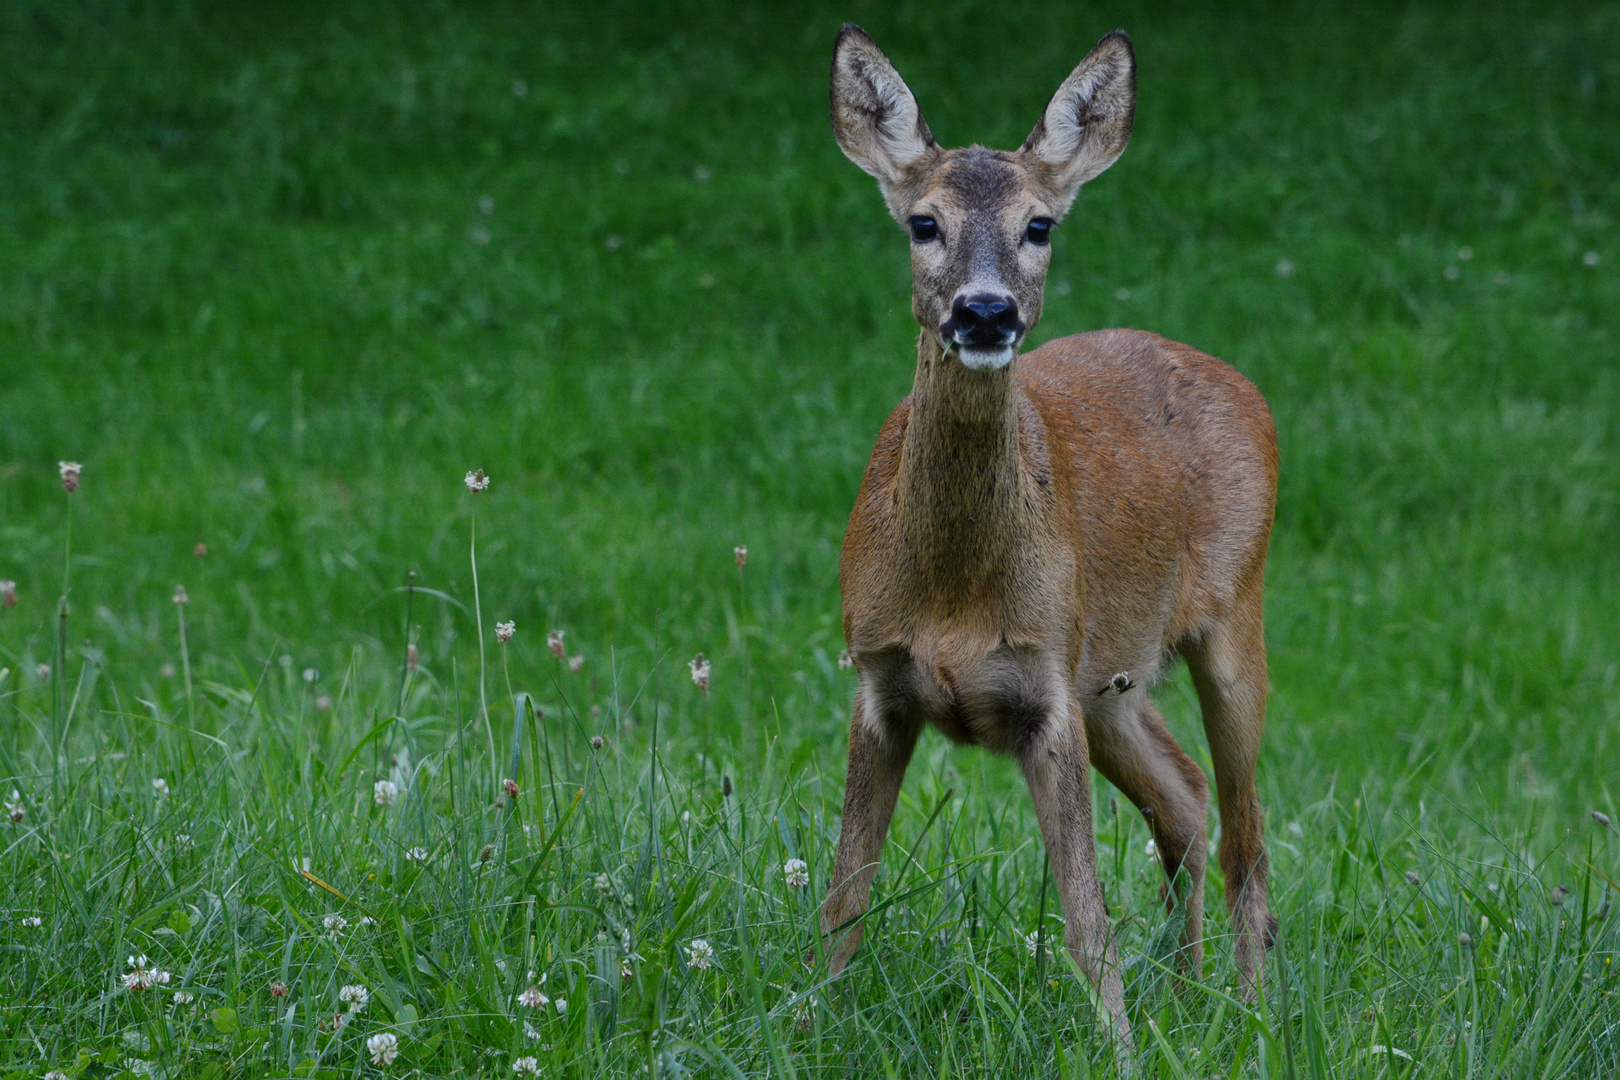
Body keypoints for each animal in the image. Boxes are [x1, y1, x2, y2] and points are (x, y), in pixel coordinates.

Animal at [822, 27, 1276, 1036]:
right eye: (923, 223)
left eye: (1041, 226)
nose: (986, 311)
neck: (952, 592)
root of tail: (1245, 386)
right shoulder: (879, 680)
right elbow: (843, 904)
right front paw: (803, 1026)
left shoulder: (1045, 692)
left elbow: (1086, 924)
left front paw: (1116, 1046)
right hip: (1111, 677)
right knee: (1184, 800)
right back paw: (1186, 1002)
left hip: (1233, 617)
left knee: (1247, 838)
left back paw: (1256, 1020)